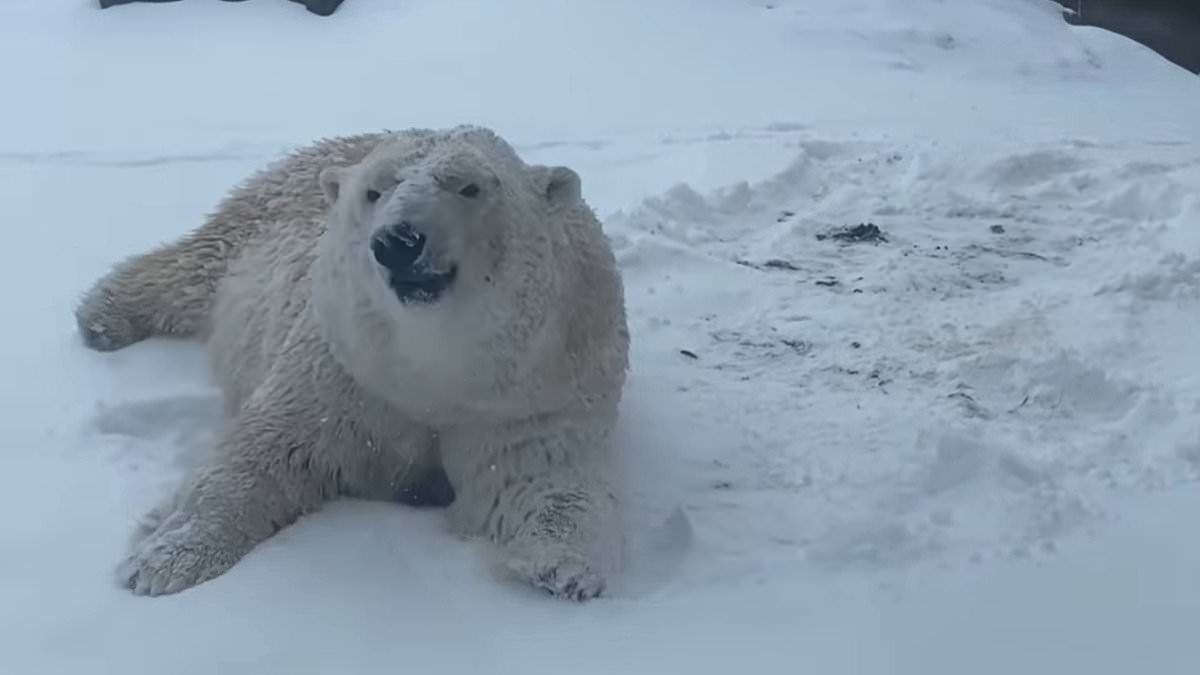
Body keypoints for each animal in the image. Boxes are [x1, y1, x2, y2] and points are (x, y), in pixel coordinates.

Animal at [73, 124, 633, 598]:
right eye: (375, 191)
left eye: (470, 187)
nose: (399, 241)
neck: (435, 366)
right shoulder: (342, 370)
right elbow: (263, 450)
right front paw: (164, 558)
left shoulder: (534, 392)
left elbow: (535, 475)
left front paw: (562, 568)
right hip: (263, 211)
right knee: (197, 265)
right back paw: (103, 316)